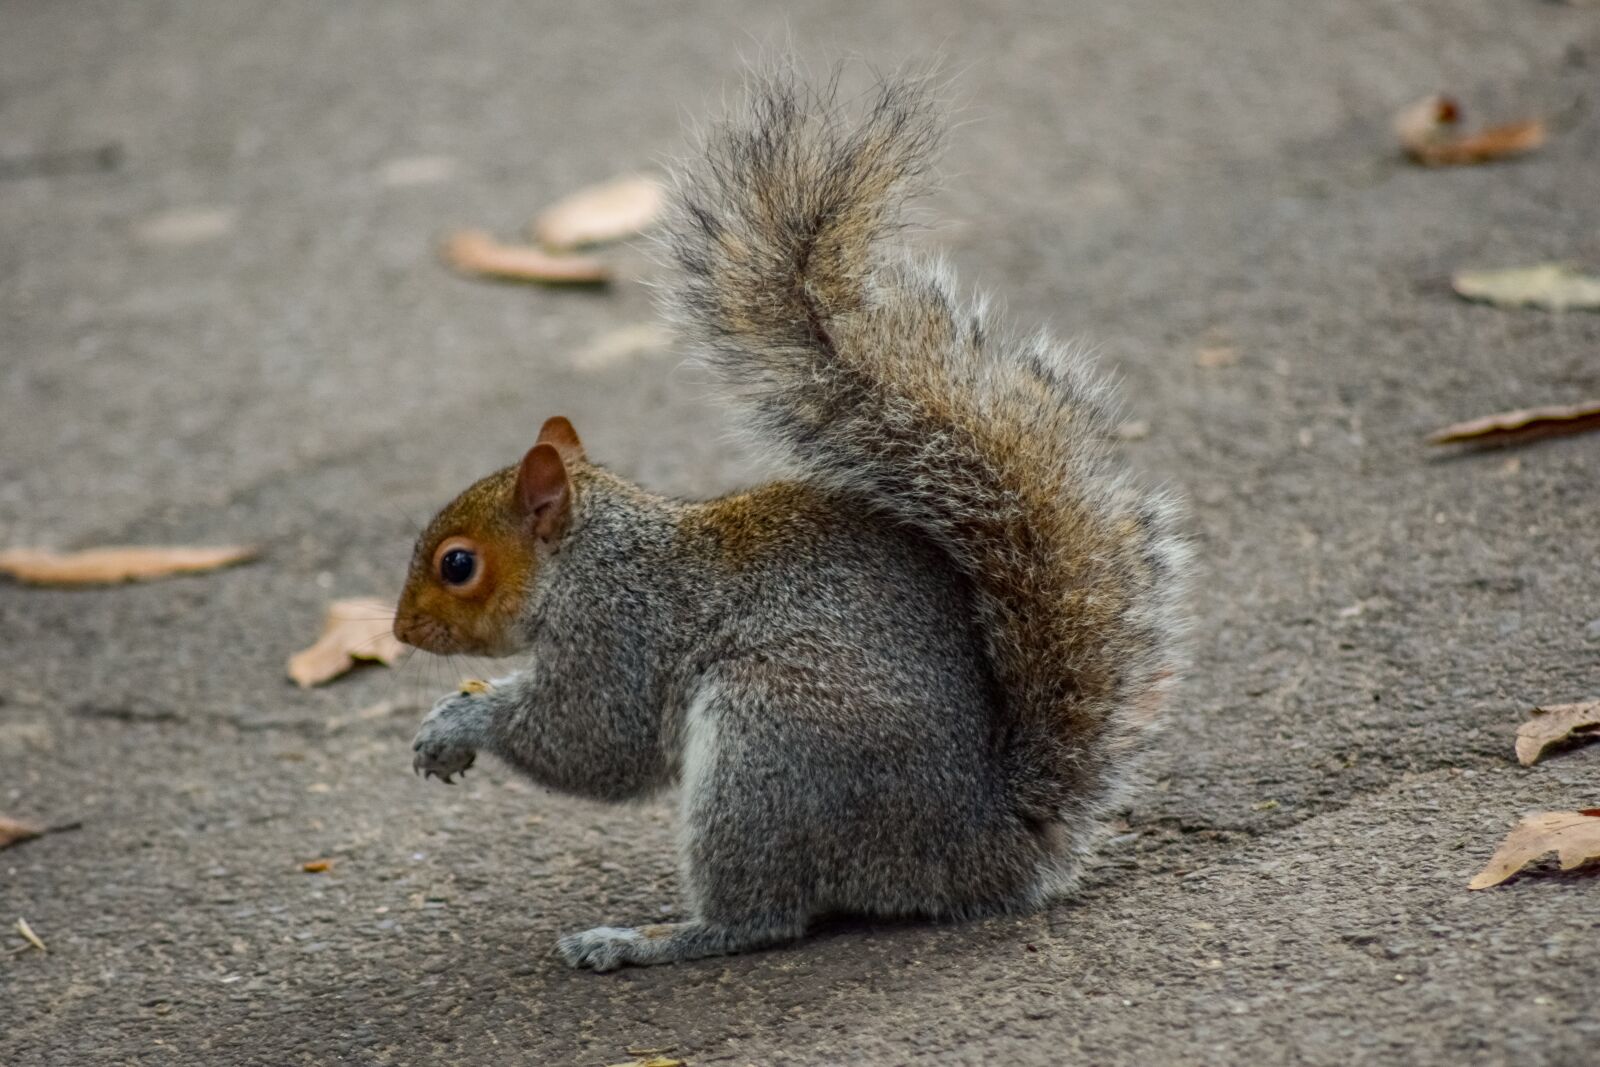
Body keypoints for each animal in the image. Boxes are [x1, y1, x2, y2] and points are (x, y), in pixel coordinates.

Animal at [394, 71, 1190, 971]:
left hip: (765, 745)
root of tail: (976, 844)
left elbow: (593, 740)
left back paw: (645, 939)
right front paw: (444, 722)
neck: (590, 556)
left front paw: (466, 718)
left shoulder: (620, 633)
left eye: (458, 564)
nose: (398, 630)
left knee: (760, 916)